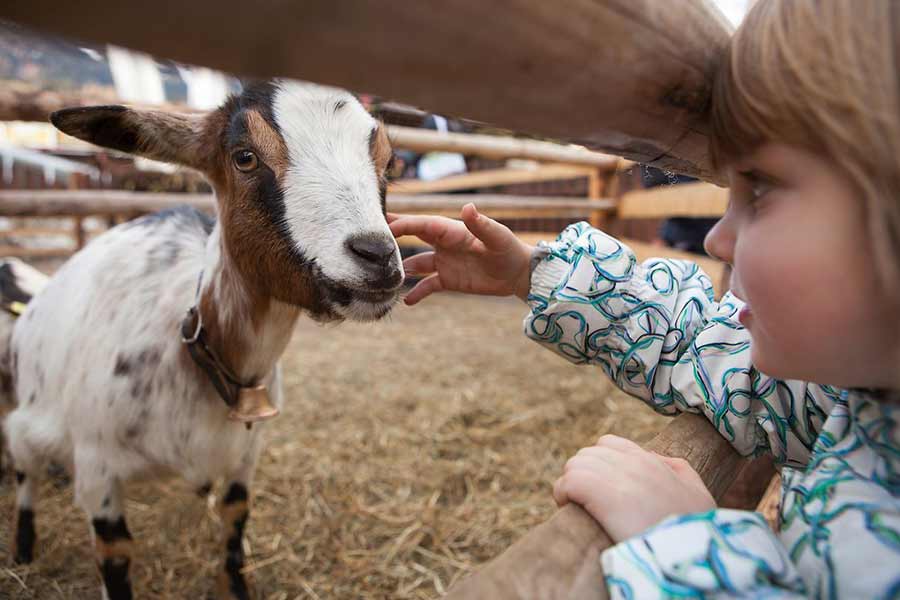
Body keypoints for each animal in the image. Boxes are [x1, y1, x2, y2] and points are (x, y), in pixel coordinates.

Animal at [2, 81, 404, 600]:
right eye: (244, 157)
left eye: (389, 162)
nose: (377, 256)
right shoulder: (97, 469)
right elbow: (116, 554)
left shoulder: (246, 456)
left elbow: (234, 521)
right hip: (30, 421)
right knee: (24, 471)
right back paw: (23, 548)